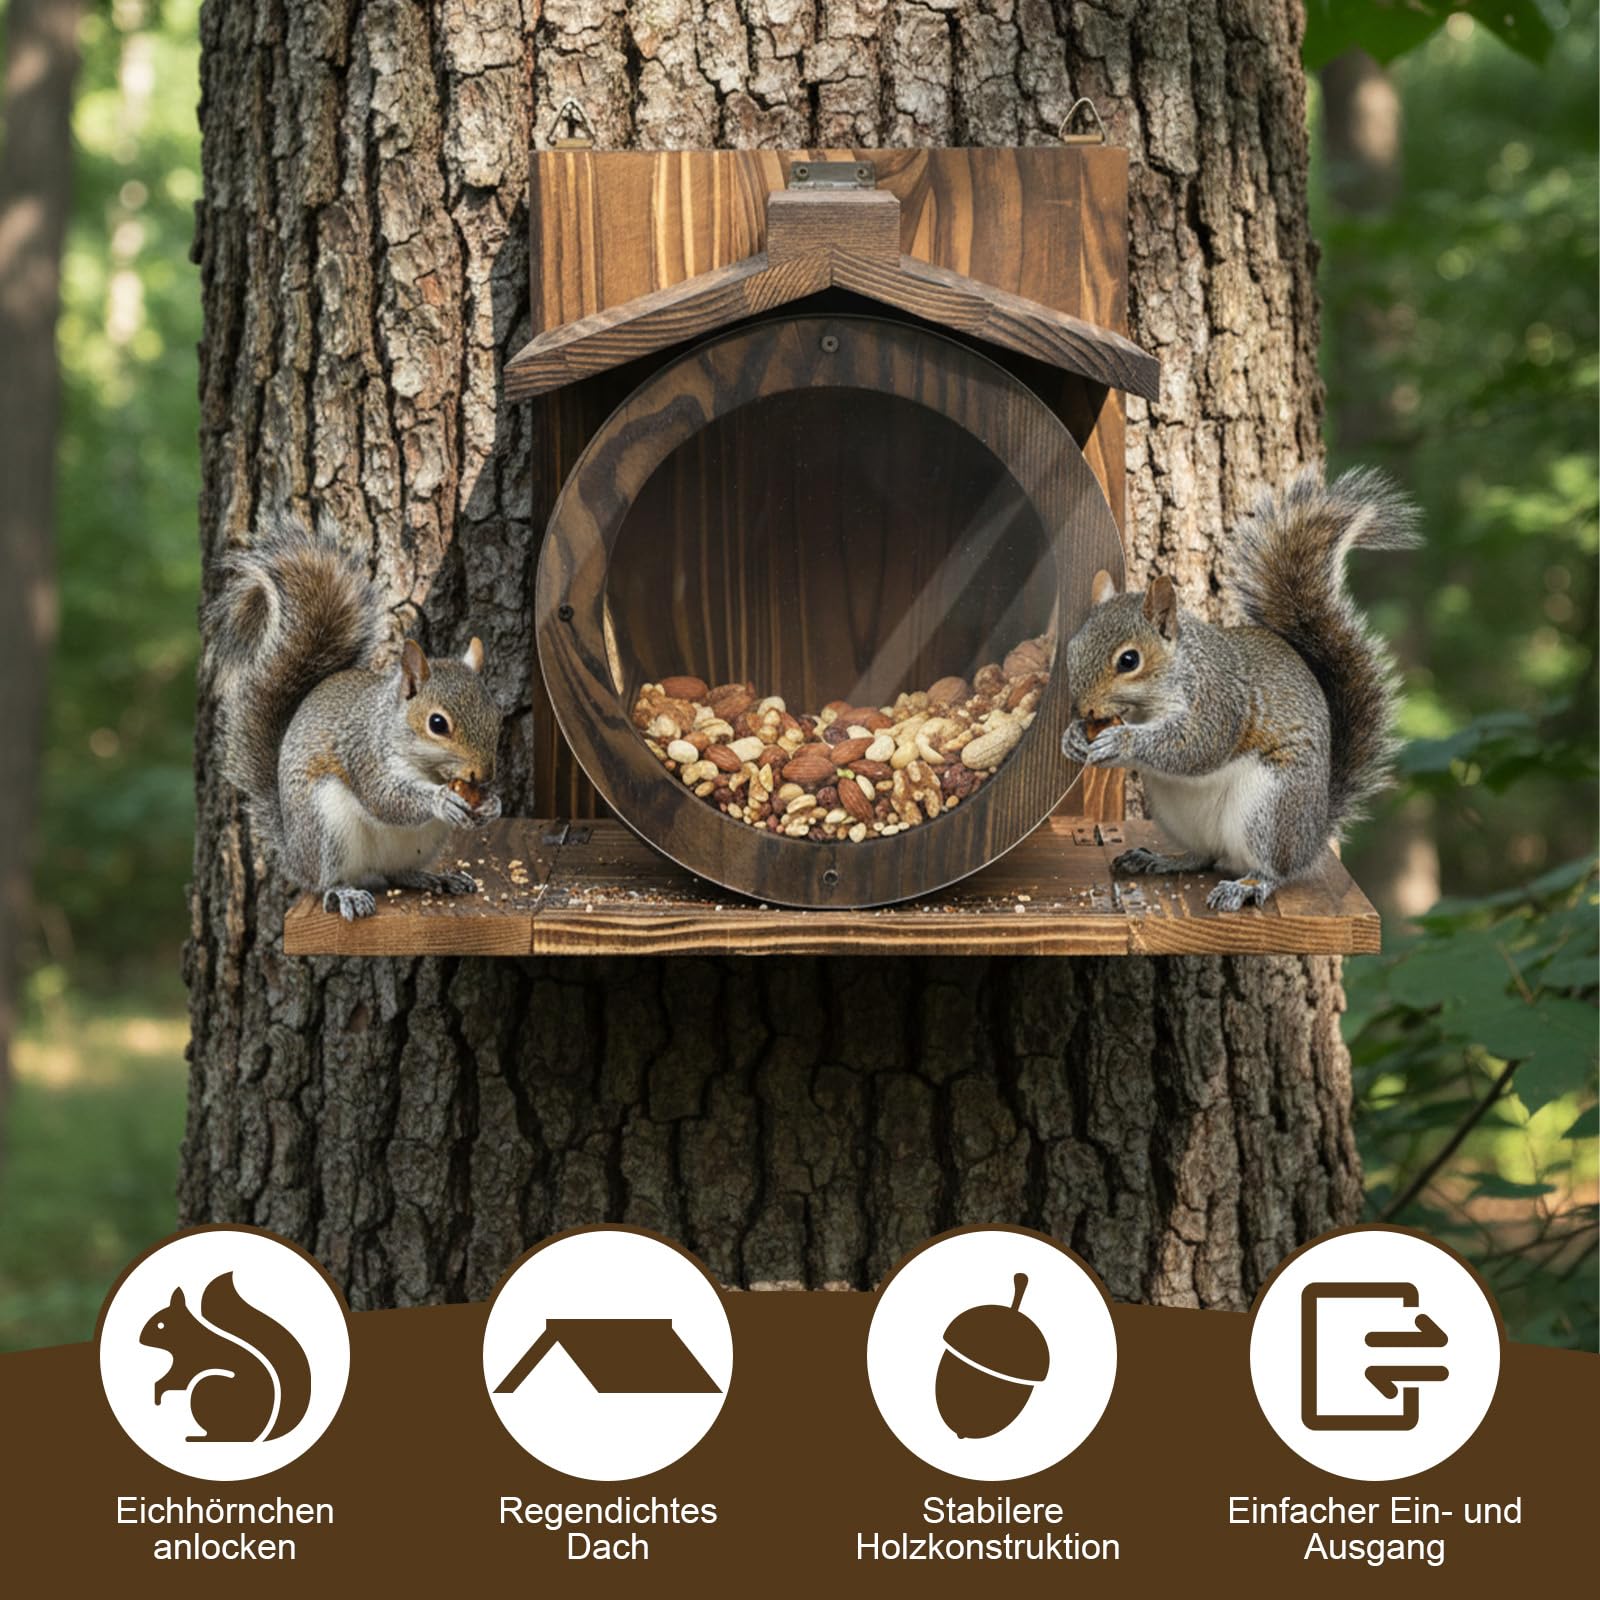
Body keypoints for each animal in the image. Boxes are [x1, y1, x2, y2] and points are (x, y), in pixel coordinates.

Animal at [139, 1272, 312, 1444]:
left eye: (160, 1325)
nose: (140, 1339)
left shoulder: (186, 1363)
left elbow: (174, 1381)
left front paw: (157, 1393)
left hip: (206, 1389)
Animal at [206, 518, 504, 921]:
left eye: (497, 716)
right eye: (438, 724)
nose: (484, 775)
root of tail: (294, 855)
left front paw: (492, 805)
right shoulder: (365, 753)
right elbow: (386, 798)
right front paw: (441, 801)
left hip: (423, 842)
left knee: (398, 873)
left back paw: (435, 878)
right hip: (326, 826)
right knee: (326, 882)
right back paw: (345, 892)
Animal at [1061, 468, 1420, 911]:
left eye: (1129, 660)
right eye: (1073, 646)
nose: (1084, 710)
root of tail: (1313, 832)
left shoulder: (1218, 700)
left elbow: (1195, 745)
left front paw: (1121, 741)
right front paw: (1073, 738)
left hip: (1269, 810)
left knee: (1275, 870)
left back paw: (1247, 885)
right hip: (1178, 814)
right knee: (1204, 855)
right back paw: (1159, 859)